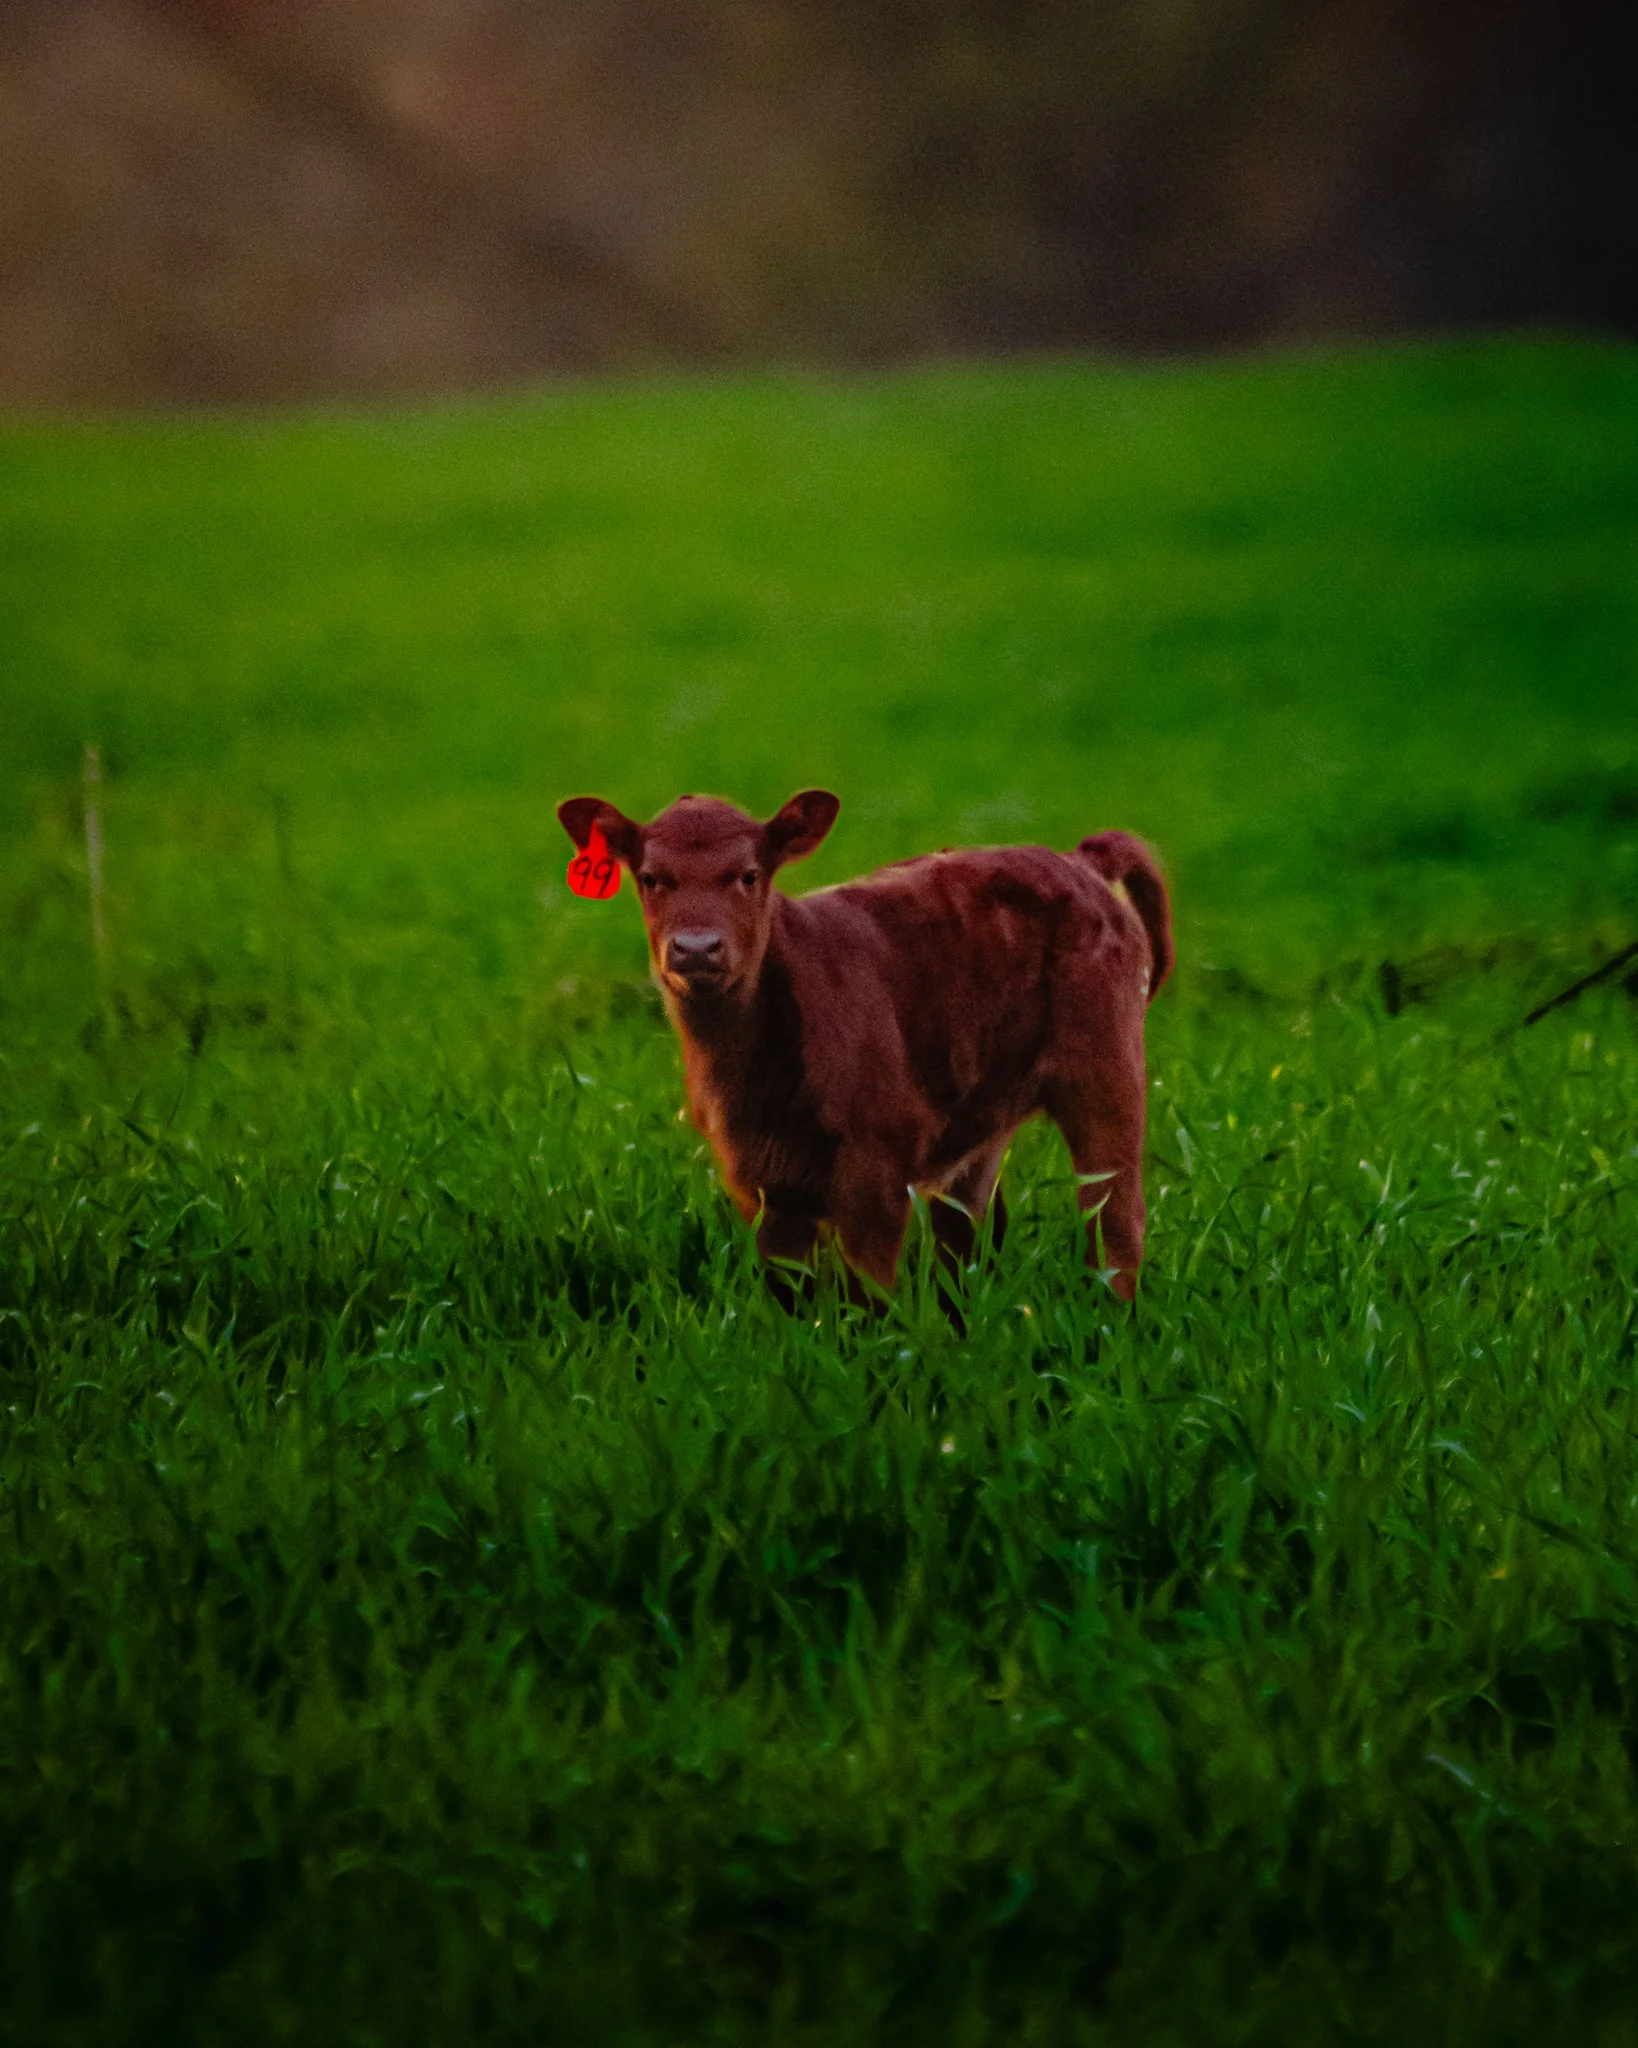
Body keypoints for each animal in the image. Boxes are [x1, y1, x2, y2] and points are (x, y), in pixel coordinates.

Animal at [556, 789, 1172, 1304]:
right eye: (650, 877)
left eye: (750, 875)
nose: (696, 949)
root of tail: (1079, 860)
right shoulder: (760, 1184)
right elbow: (799, 1302)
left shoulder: (874, 1174)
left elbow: (869, 1297)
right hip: (981, 1114)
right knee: (966, 1237)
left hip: (1107, 1076)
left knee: (1116, 1224)